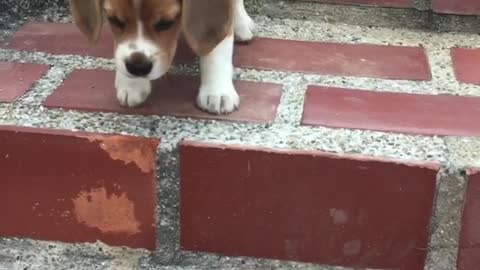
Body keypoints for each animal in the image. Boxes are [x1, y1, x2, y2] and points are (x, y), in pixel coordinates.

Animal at [70, 0, 255, 114]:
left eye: (166, 23)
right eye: (114, 20)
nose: (138, 68)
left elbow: (216, 47)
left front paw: (217, 92)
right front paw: (131, 83)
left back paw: (242, 24)